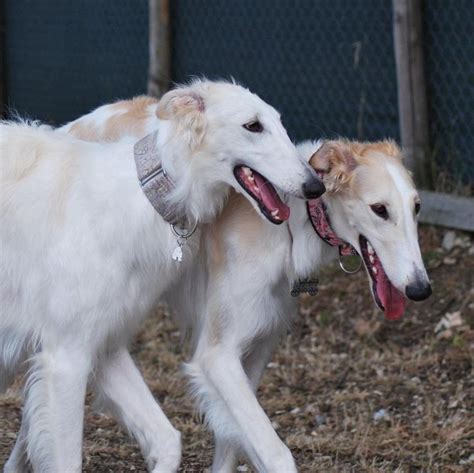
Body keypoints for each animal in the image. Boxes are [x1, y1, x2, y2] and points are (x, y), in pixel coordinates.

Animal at [0, 81, 326, 472]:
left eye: (280, 123)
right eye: (253, 126)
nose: (315, 187)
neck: (141, 195)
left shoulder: (105, 344)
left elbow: (170, 440)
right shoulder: (67, 354)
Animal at [36, 97, 430, 470]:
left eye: (417, 207)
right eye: (380, 210)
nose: (421, 290)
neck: (292, 221)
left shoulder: (257, 350)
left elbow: (231, 444)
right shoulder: (218, 355)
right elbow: (276, 454)